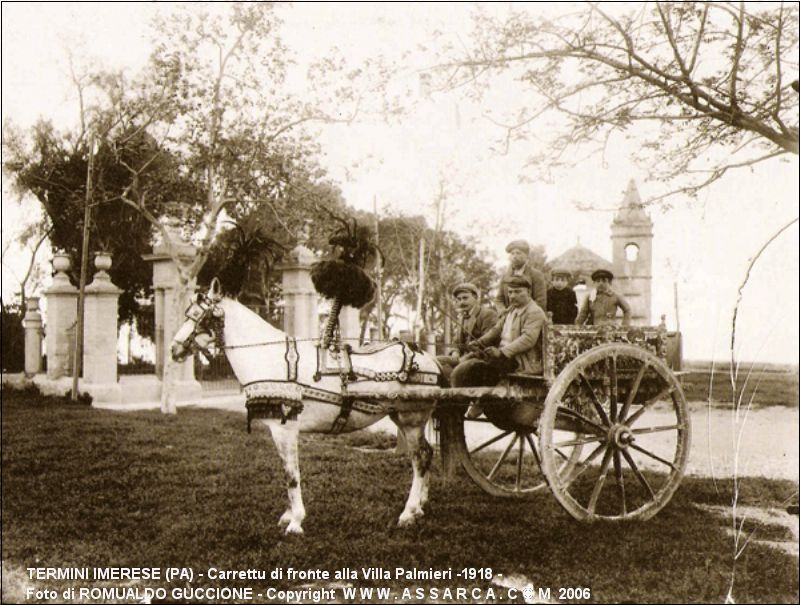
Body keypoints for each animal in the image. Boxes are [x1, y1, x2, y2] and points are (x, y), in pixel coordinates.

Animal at [170, 278, 444, 532]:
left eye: (200, 315)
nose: (174, 349)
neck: (271, 358)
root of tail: (427, 358)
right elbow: (287, 472)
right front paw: (289, 516)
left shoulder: (285, 428)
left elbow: (292, 475)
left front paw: (295, 522)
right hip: (403, 419)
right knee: (427, 454)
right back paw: (420, 507)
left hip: (411, 421)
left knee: (420, 458)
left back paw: (408, 512)